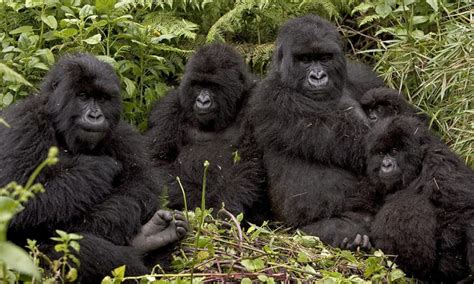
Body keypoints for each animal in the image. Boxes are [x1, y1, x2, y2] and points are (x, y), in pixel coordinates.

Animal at [0, 53, 189, 282]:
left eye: (101, 99)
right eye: (82, 96)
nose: (95, 116)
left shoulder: (122, 134)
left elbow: (141, 185)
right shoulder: (24, 125)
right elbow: (16, 201)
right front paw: (99, 168)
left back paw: (152, 237)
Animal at [146, 42, 268, 224]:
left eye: (213, 86)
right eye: (198, 85)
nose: (202, 101)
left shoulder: (256, 104)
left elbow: (249, 161)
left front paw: (220, 212)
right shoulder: (168, 109)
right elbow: (157, 161)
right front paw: (198, 202)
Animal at [248, 14, 374, 247]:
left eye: (324, 58)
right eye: (305, 59)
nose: (317, 76)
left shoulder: (364, 78)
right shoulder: (272, 97)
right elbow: (360, 142)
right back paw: (348, 234)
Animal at [360, 116, 474, 282]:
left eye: (394, 151)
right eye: (381, 153)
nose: (386, 165)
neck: (417, 169)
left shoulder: (439, 162)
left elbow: (464, 209)